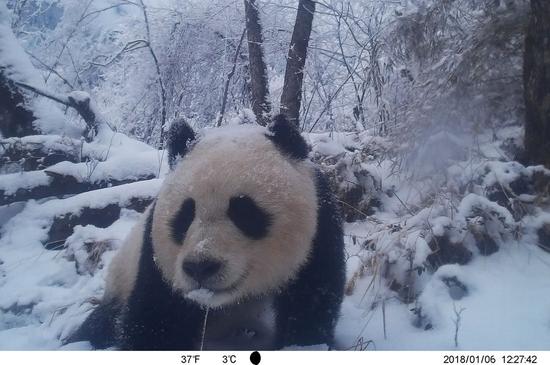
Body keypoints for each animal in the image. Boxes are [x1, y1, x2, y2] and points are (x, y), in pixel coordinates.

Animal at [69, 115, 344, 348]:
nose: (201, 267)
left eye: (244, 212)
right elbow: (157, 316)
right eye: (185, 214)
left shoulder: (319, 231)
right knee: (101, 323)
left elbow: (312, 300)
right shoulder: (158, 257)